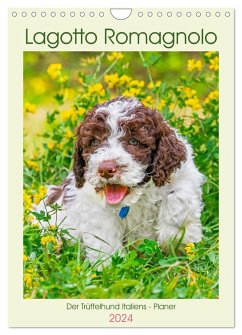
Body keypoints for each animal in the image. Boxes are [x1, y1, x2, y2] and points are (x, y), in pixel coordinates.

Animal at [35, 96, 203, 266]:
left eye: (134, 141)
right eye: (94, 142)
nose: (106, 169)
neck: (136, 197)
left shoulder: (183, 177)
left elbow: (177, 200)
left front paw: (177, 241)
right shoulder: (97, 209)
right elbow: (105, 240)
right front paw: (110, 265)